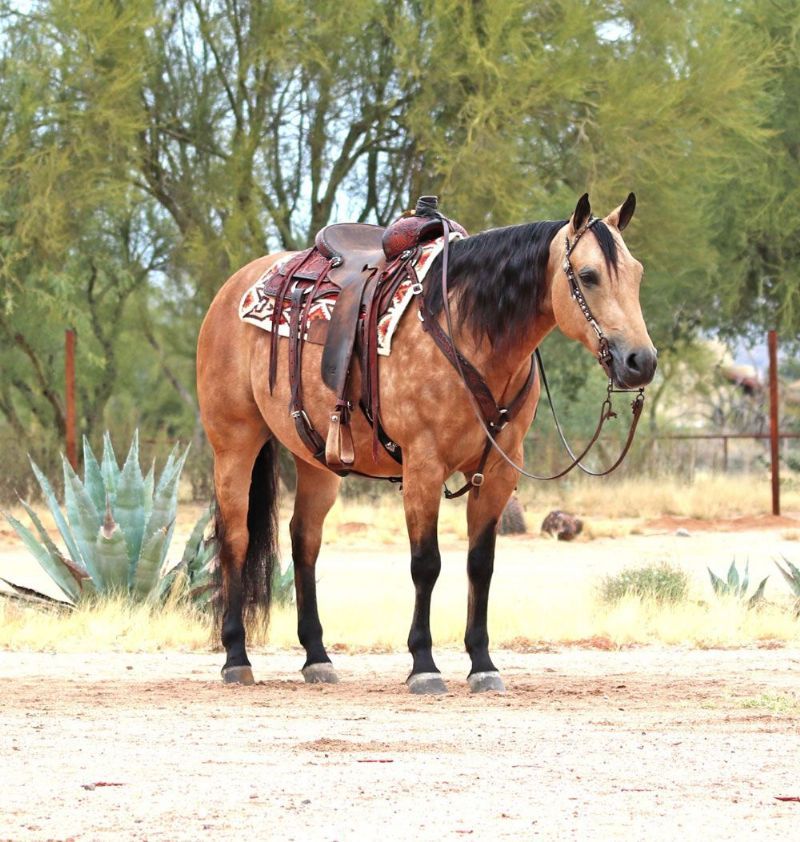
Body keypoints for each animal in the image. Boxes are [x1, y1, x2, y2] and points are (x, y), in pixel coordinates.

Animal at [196, 193, 657, 693]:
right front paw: (424, 664)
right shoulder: (423, 466)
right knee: (236, 538)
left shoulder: (499, 471)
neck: (469, 335)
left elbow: (480, 564)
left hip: (317, 460)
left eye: (637, 274)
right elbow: (426, 564)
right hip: (234, 444)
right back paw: (236, 658)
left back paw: (317, 658)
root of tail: (232, 289)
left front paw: (483, 664)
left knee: (305, 541)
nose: (641, 361)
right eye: (588, 276)